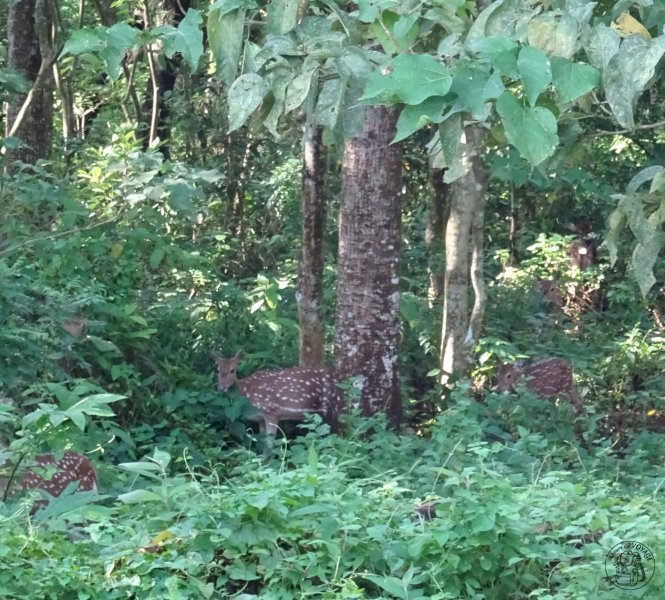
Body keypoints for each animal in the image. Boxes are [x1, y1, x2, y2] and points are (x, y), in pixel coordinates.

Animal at [211, 350, 340, 438]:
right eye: (217, 370)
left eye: (232, 370)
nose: (221, 387)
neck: (247, 391)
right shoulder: (260, 418)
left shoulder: (271, 411)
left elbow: (269, 445)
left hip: (333, 407)